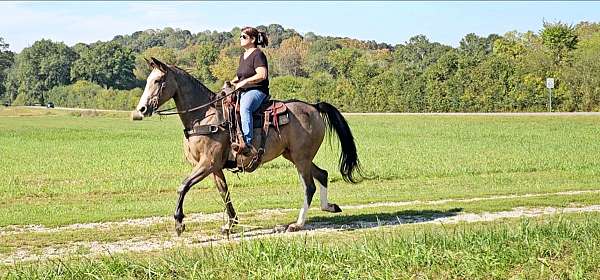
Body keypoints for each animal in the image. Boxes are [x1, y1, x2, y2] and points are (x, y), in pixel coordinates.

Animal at [135, 56, 360, 234]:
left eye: (158, 80)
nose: (142, 109)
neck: (204, 117)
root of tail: (313, 107)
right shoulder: (215, 167)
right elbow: (224, 192)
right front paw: (230, 224)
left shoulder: (207, 163)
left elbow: (183, 186)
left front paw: (179, 223)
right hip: (294, 156)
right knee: (322, 174)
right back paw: (329, 207)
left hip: (301, 158)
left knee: (309, 186)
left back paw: (297, 224)